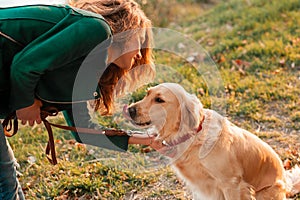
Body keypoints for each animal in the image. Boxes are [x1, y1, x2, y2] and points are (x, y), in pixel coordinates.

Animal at [123, 83, 300, 200]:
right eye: (147, 93)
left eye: (159, 100)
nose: (129, 110)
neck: (193, 137)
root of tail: (287, 184)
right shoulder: (202, 188)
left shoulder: (231, 184)